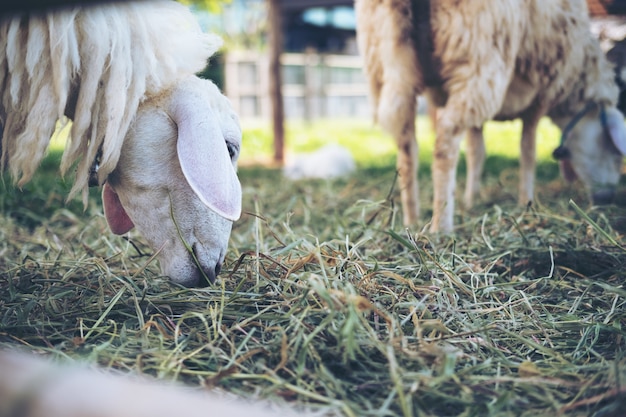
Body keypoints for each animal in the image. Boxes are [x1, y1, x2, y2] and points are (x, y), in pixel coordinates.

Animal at [354, 0, 624, 231]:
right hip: (477, 52)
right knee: (444, 143)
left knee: (406, 147)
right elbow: (528, 150)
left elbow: (476, 152)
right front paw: (526, 201)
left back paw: (411, 219)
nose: (608, 197)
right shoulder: (540, 93)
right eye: (613, 151)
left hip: (387, 60)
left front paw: (471, 199)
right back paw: (441, 226)